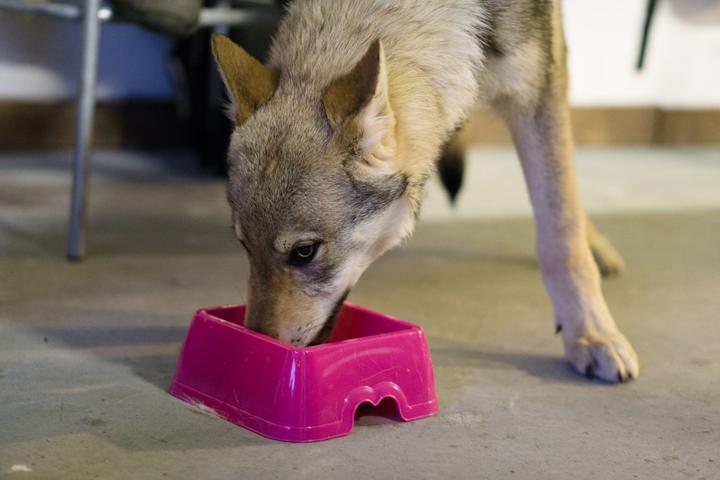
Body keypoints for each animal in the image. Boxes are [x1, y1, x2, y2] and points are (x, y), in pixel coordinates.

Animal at [211, 0, 640, 382]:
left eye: (304, 252)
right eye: (244, 245)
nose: (258, 341)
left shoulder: (536, 86)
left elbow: (561, 232)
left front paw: (591, 333)